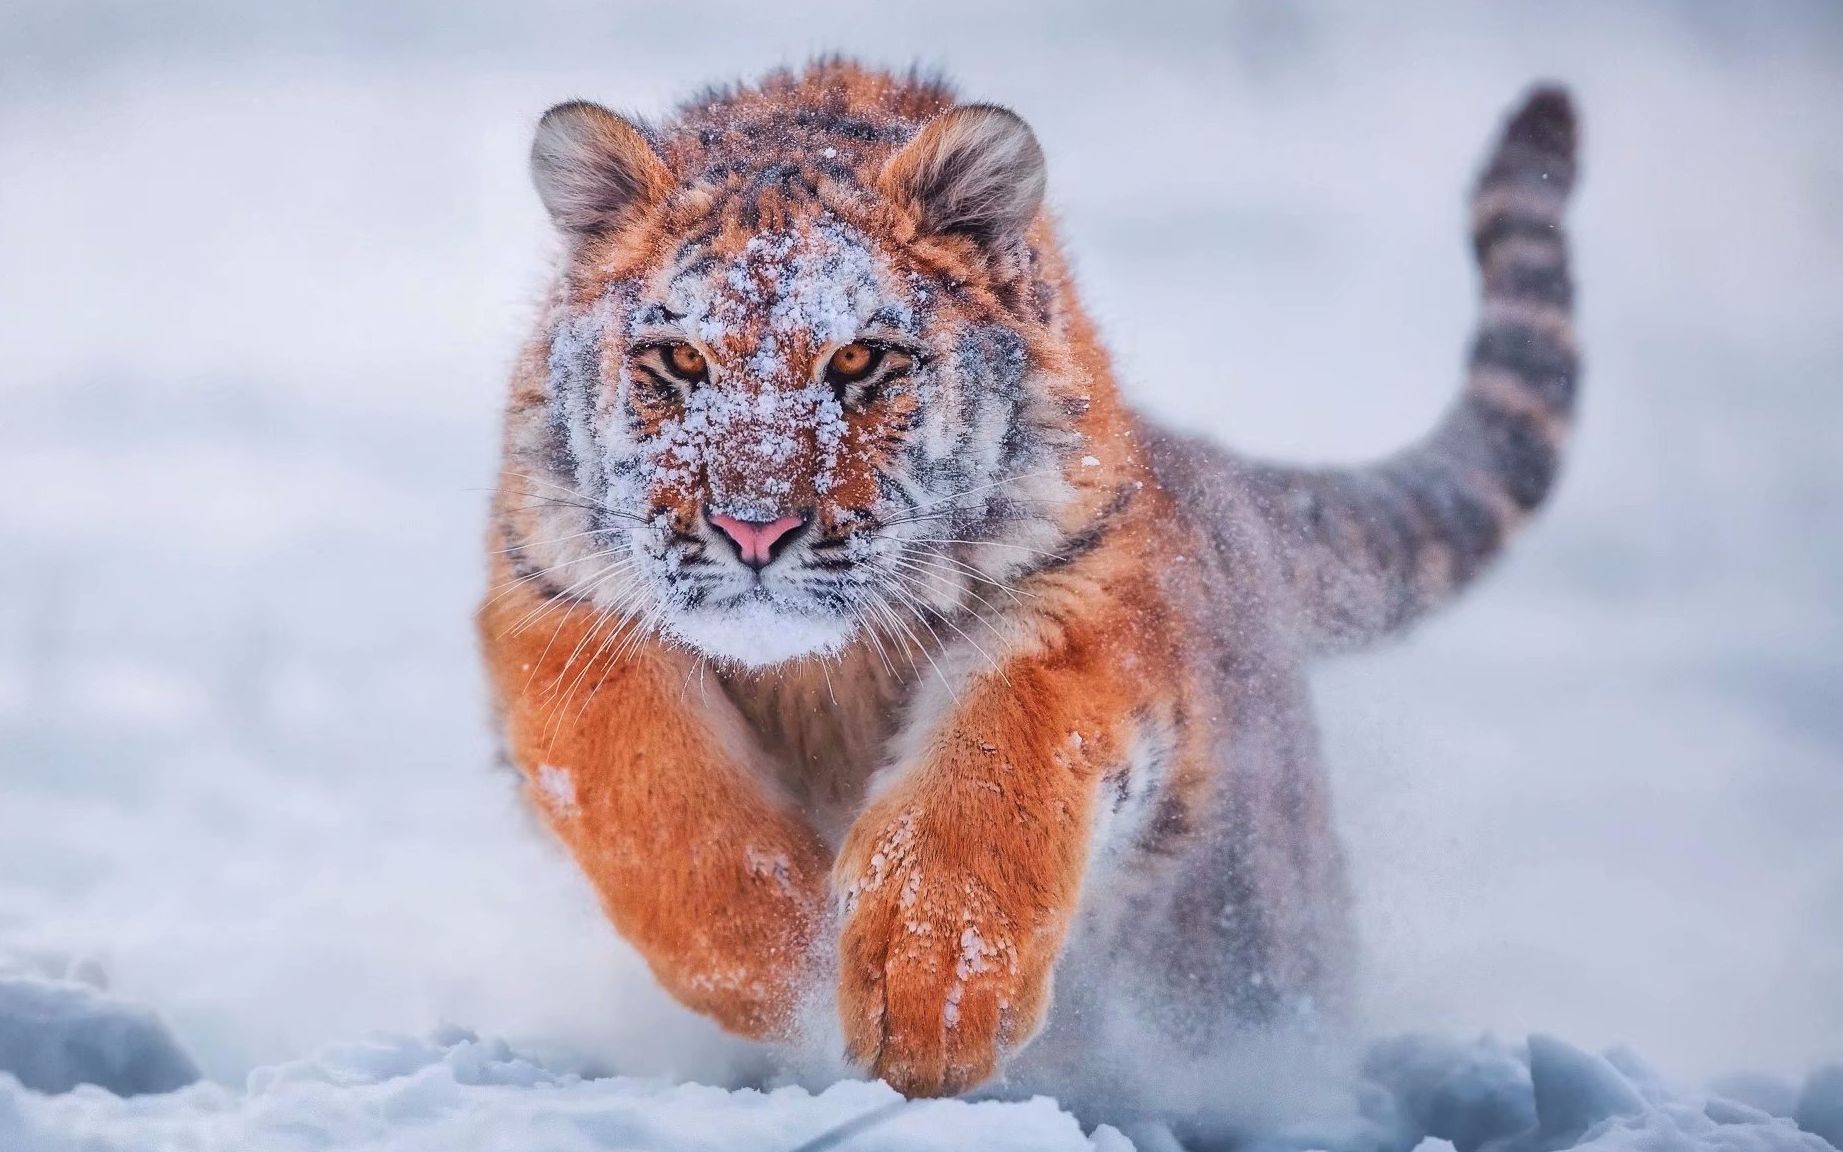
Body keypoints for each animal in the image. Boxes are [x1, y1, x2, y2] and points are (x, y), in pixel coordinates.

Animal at [479, 58, 1584, 1098]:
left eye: (858, 361)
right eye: (678, 360)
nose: (755, 528)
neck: (819, 673)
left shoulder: (1080, 598)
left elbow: (994, 765)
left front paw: (928, 996)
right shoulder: (555, 604)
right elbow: (650, 794)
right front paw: (780, 961)